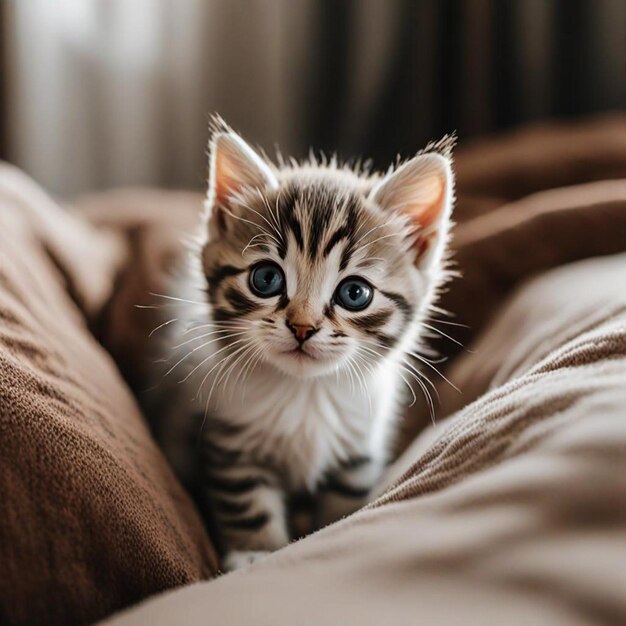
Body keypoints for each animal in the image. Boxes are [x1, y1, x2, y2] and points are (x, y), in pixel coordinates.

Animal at [156, 118, 454, 572]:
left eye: (354, 293)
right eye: (266, 279)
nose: (302, 327)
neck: (306, 394)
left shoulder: (358, 451)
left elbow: (342, 507)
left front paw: (332, 535)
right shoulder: (229, 443)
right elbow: (245, 502)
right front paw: (256, 553)